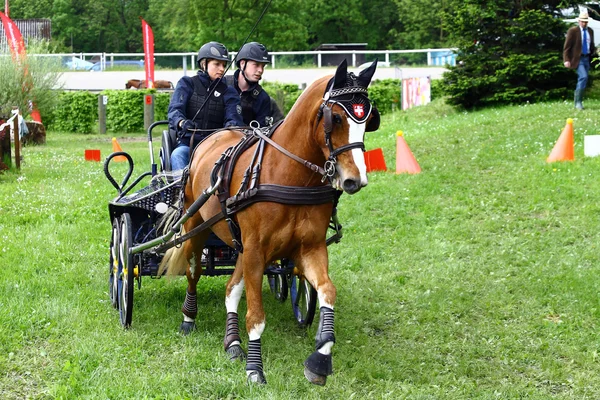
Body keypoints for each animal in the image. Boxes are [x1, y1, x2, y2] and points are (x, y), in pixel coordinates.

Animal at [159, 59, 380, 384]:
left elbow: (327, 291)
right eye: (337, 118)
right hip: (195, 228)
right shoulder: (255, 250)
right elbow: (256, 316)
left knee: (231, 288)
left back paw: (232, 343)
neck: (289, 175)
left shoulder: (309, 249)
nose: (356, 180)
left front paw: (320, 358)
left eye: (369, 120)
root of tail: (210, 137)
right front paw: (255, 369)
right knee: (193, 271)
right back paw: (189, 318)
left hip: (240, 243)